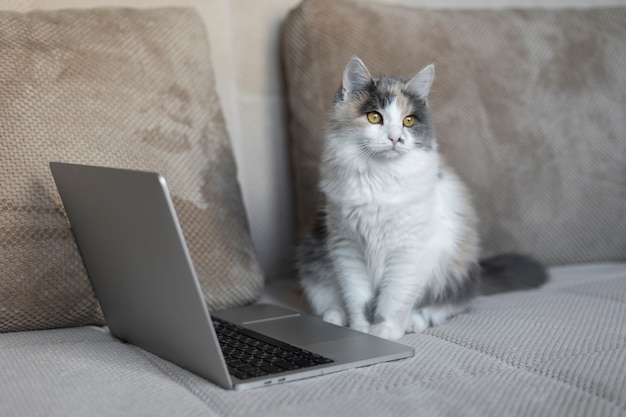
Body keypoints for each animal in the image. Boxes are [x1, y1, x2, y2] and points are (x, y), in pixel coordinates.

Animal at [294, 57, 544, 340]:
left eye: (409, 120)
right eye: (374, 117)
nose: (395, 138)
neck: (379, 179)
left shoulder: (410, 252)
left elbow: (394, 299)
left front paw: (385, 332)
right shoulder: (347, 246)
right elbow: (358, 298)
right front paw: (361, 331)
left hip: (456, 273)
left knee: (442, 307)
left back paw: (415, 321)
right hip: (314, 258)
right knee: (328, 298)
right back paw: (335, 317)